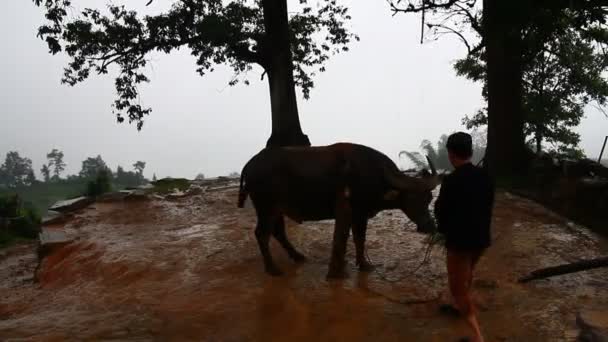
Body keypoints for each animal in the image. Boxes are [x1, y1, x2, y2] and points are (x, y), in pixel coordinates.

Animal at [236, 142, 436, 278]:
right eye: (412, 199)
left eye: (429, 199)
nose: (429, 225)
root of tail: (251, 164)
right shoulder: (352, 212)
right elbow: (344, 239)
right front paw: (337, 272)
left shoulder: (359, 215)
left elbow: (358, 239)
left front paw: (361, 264)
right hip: (266, 207)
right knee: (262, 233)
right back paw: (272, 268)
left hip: (277, 209)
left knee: (278, 232)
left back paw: (297, 256)